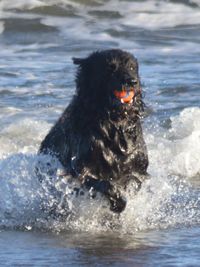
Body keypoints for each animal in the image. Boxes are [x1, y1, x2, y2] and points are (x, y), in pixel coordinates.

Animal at [38, 49, 148, 214]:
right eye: (111, 68)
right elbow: (103, 183)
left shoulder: (139, 165)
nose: (132, 82)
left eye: (132, 67)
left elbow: (134, 179)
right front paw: (118, 203)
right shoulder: (81, 167)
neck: (113, 123)